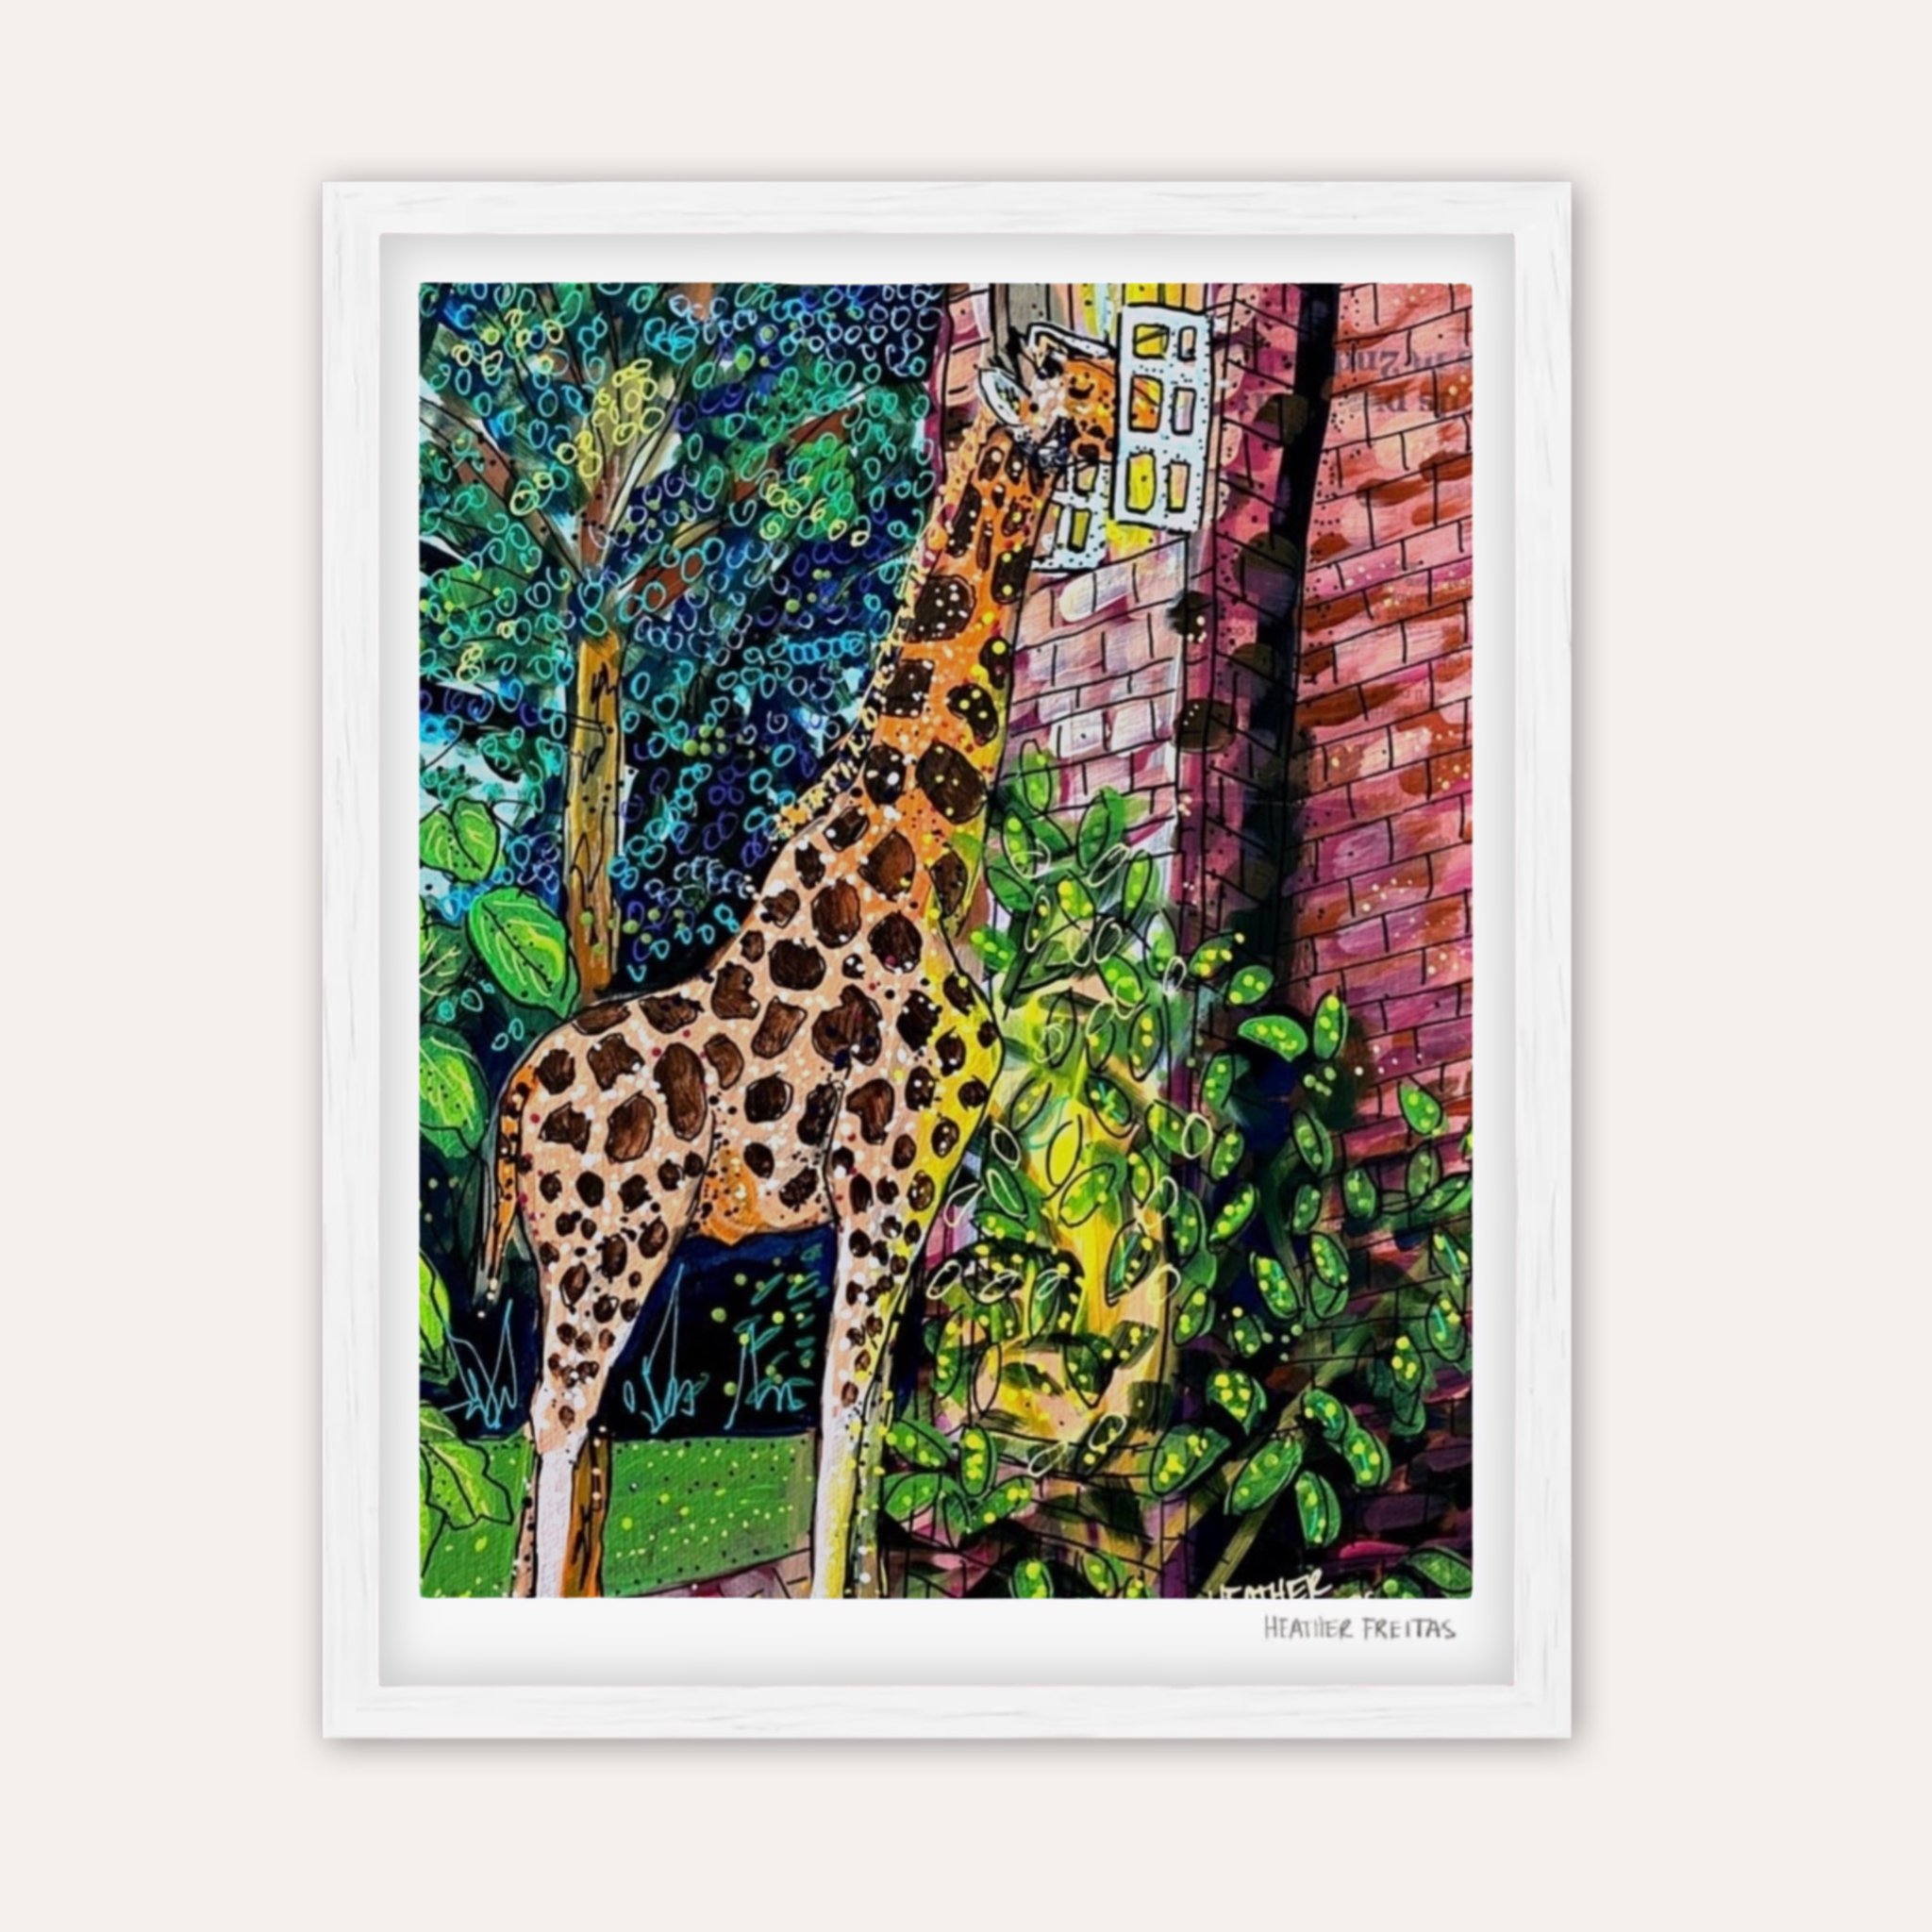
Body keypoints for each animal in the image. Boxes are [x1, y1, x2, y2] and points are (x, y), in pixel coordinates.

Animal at [478, 319, 1119, 1599]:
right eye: (1062, 370)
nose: (1120, 411)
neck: (922, 856)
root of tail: (512, 1099)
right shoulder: (888, 1171)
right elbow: (840, 1411)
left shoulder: (910, 1188)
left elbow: (869, 1424)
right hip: (614, 1246)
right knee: (560, 1419)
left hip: (563, 1258)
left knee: (552, 1429)